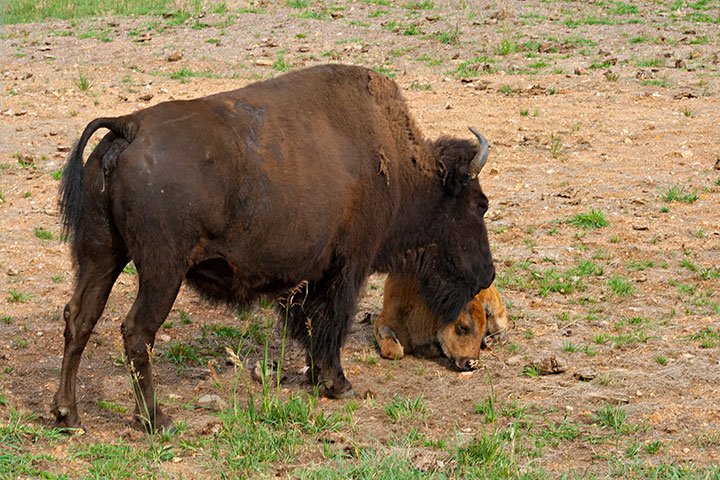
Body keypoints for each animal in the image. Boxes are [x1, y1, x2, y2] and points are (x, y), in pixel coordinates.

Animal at [52, 63, 496, 432]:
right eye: (480, 204)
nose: (487, 273)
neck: (402, 168)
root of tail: (128, 127)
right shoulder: (348, 267)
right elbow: (331, 323)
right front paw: (339, 384)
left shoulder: (311, 276)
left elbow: (311, 324)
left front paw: (318, 378)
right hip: (162, 272)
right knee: (136, 331)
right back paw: (156, 420)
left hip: (101, 255)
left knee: (79, 317)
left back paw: (67, 415)